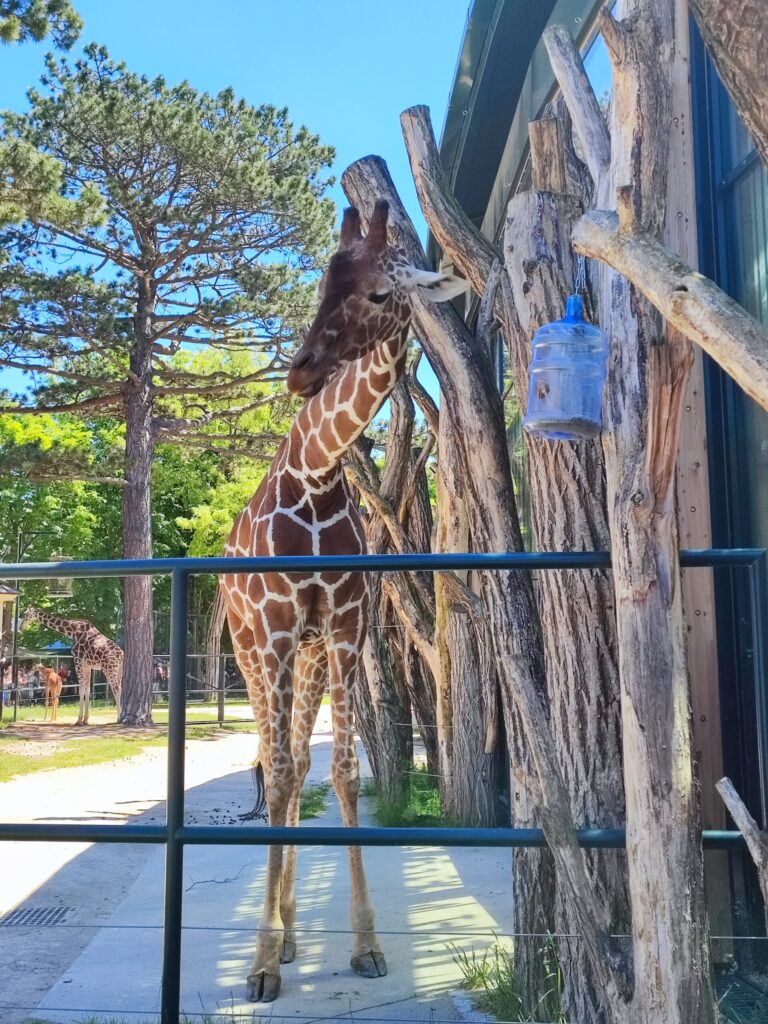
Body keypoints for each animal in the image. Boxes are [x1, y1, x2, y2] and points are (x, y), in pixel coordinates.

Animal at [219, 199, 466, 999]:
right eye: (325, 281)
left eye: (381, 294)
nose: (300, 371)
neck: (320, 473)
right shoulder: (274, 630)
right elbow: (282, 776)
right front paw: (261, 963)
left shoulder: (347, 629)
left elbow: (345, 775)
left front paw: (364, 944)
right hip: (252, 653)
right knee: (278, 764)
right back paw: (281, 941)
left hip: (309, 658)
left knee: (296, 760)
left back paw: (296, 931)